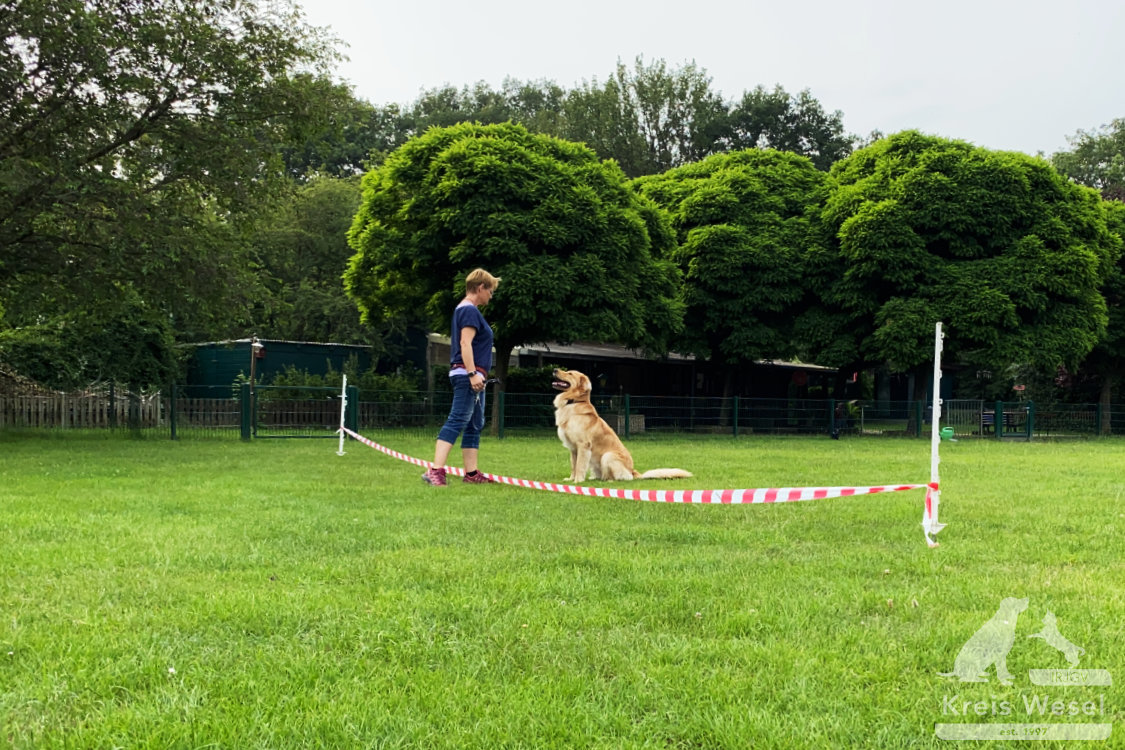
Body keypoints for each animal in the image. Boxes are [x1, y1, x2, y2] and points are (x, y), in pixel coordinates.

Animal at [549, 368, 688, 483]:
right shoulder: (573, 448)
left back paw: (609, 481)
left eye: (570, 373)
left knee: (617, 478)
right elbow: (573, 466)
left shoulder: (583, 446)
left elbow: (579, 466)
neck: (572, 402)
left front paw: (577, 481)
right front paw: (571, 479)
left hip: (608, 456)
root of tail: (633, 471)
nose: (555, 369)